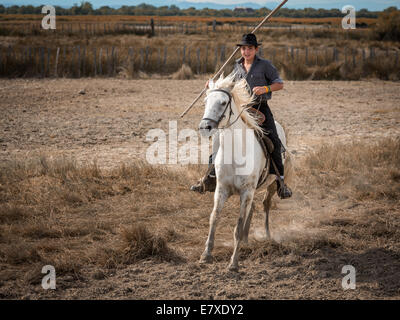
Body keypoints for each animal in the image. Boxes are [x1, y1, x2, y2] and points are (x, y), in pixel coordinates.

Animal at [197, 74, 288, 272]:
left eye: (223, 102)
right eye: (206, 101)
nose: (204, 127)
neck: (235, 152)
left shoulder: (246, 191)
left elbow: (238, 225)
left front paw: (233, 263)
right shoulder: (221, 189)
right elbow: (214, 218)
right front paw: (206, 255)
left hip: (270, 185)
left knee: (265, 204)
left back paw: (267, 234)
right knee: (252, 209)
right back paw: (246, 240)